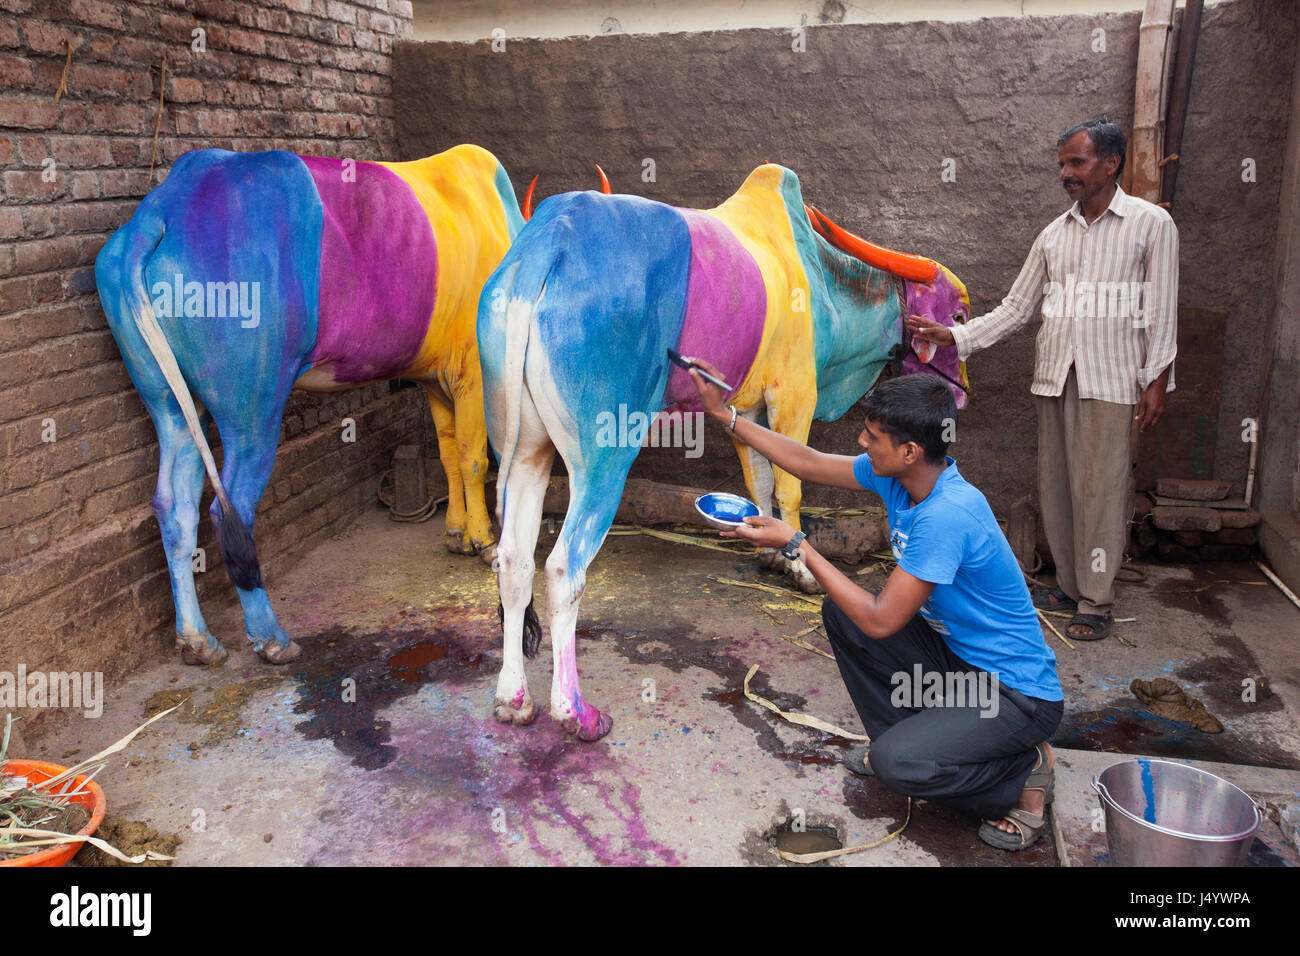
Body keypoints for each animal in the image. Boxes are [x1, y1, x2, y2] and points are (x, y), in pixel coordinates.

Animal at [96, 143, 522, 665]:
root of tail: (164, 209)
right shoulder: (475, 372)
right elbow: (473, 456)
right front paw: (484, 541)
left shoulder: (436, 378)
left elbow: (446, 454)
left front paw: (456, 532)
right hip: (253, 408)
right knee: (229, 509)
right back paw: (271, 637)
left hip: (171, 404)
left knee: (173, 507)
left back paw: (197, 639)